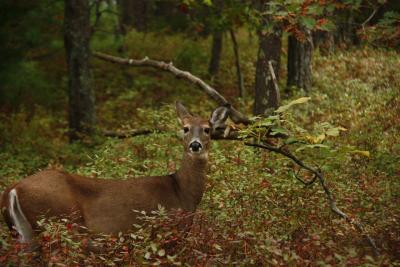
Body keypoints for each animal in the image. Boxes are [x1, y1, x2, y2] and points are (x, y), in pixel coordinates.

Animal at [0, 102, 228, 245]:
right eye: (185, 128)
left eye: (207, 129)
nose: (195, 145)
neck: (181, 191)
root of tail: (12, 190)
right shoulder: (169, 231)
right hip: (58, 222)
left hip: (23, 232)